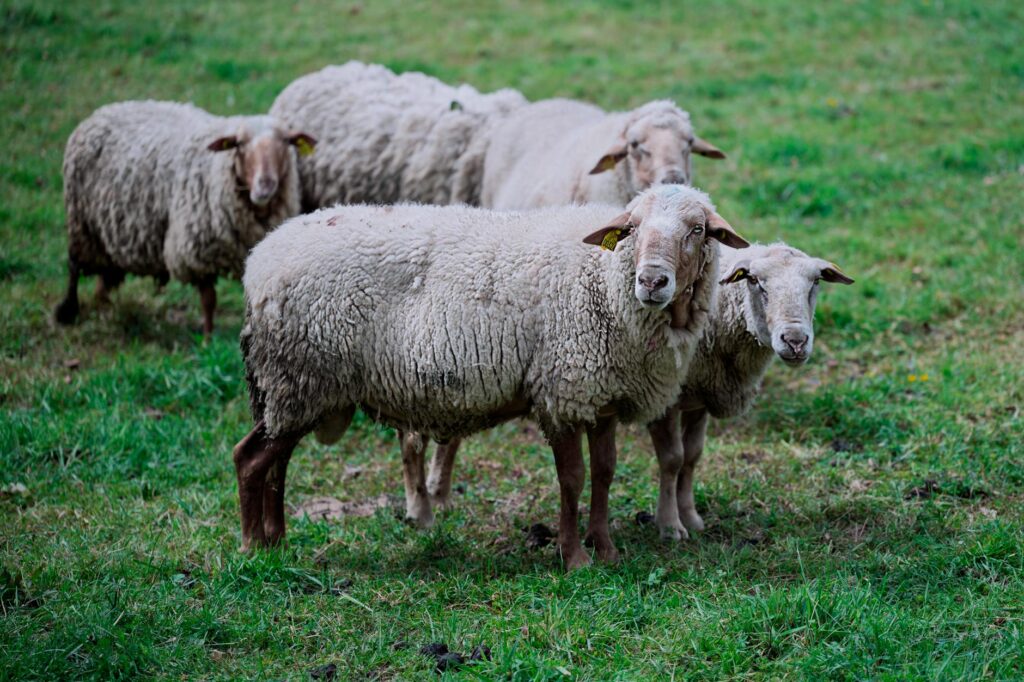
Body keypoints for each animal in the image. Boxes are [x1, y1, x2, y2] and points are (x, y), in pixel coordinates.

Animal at [54, 100, 315, 335]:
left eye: (286, 142)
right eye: (239, 145)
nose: (265, 185)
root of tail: (102, 111)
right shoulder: (196, 253)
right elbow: (209, 299)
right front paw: (208, 339)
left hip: (105, 231)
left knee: (104, 274)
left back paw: (105, 306)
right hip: (80, 223)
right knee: (74, 267)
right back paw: (67, 312)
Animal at [232, 184, 748, 569]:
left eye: (698, 230)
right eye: (632, 229)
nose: (652, 281)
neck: (603, 280)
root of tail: (258, 263)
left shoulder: (599, 394)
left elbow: (604, 474)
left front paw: (605, 550)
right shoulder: (561, 390)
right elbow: (573, 479)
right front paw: (575, 558)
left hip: (295, 388)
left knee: (277, 460)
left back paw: (277, 540)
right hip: (299, 376)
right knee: (250, 459)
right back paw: (253, 547)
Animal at [648, 243, 855, 540]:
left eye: (816, 281)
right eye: (755, 281)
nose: (795, 341)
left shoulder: (698, 396)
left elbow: (691, 456)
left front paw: (690, 517)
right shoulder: (663, 399)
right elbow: (672, 460)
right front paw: (669, 525)